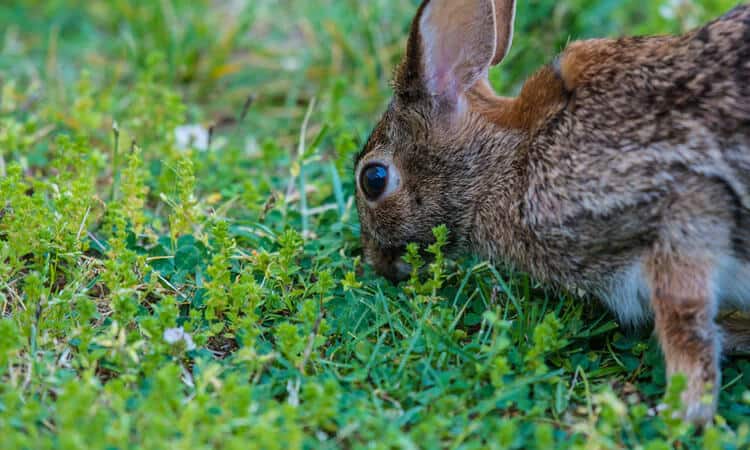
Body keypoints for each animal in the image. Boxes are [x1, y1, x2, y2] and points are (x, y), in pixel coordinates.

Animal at [356, 0, 750, 426]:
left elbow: (685, 325)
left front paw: (678, 413)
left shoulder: (683, 209)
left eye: (373, 179)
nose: (376, 263)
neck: (511, 158)